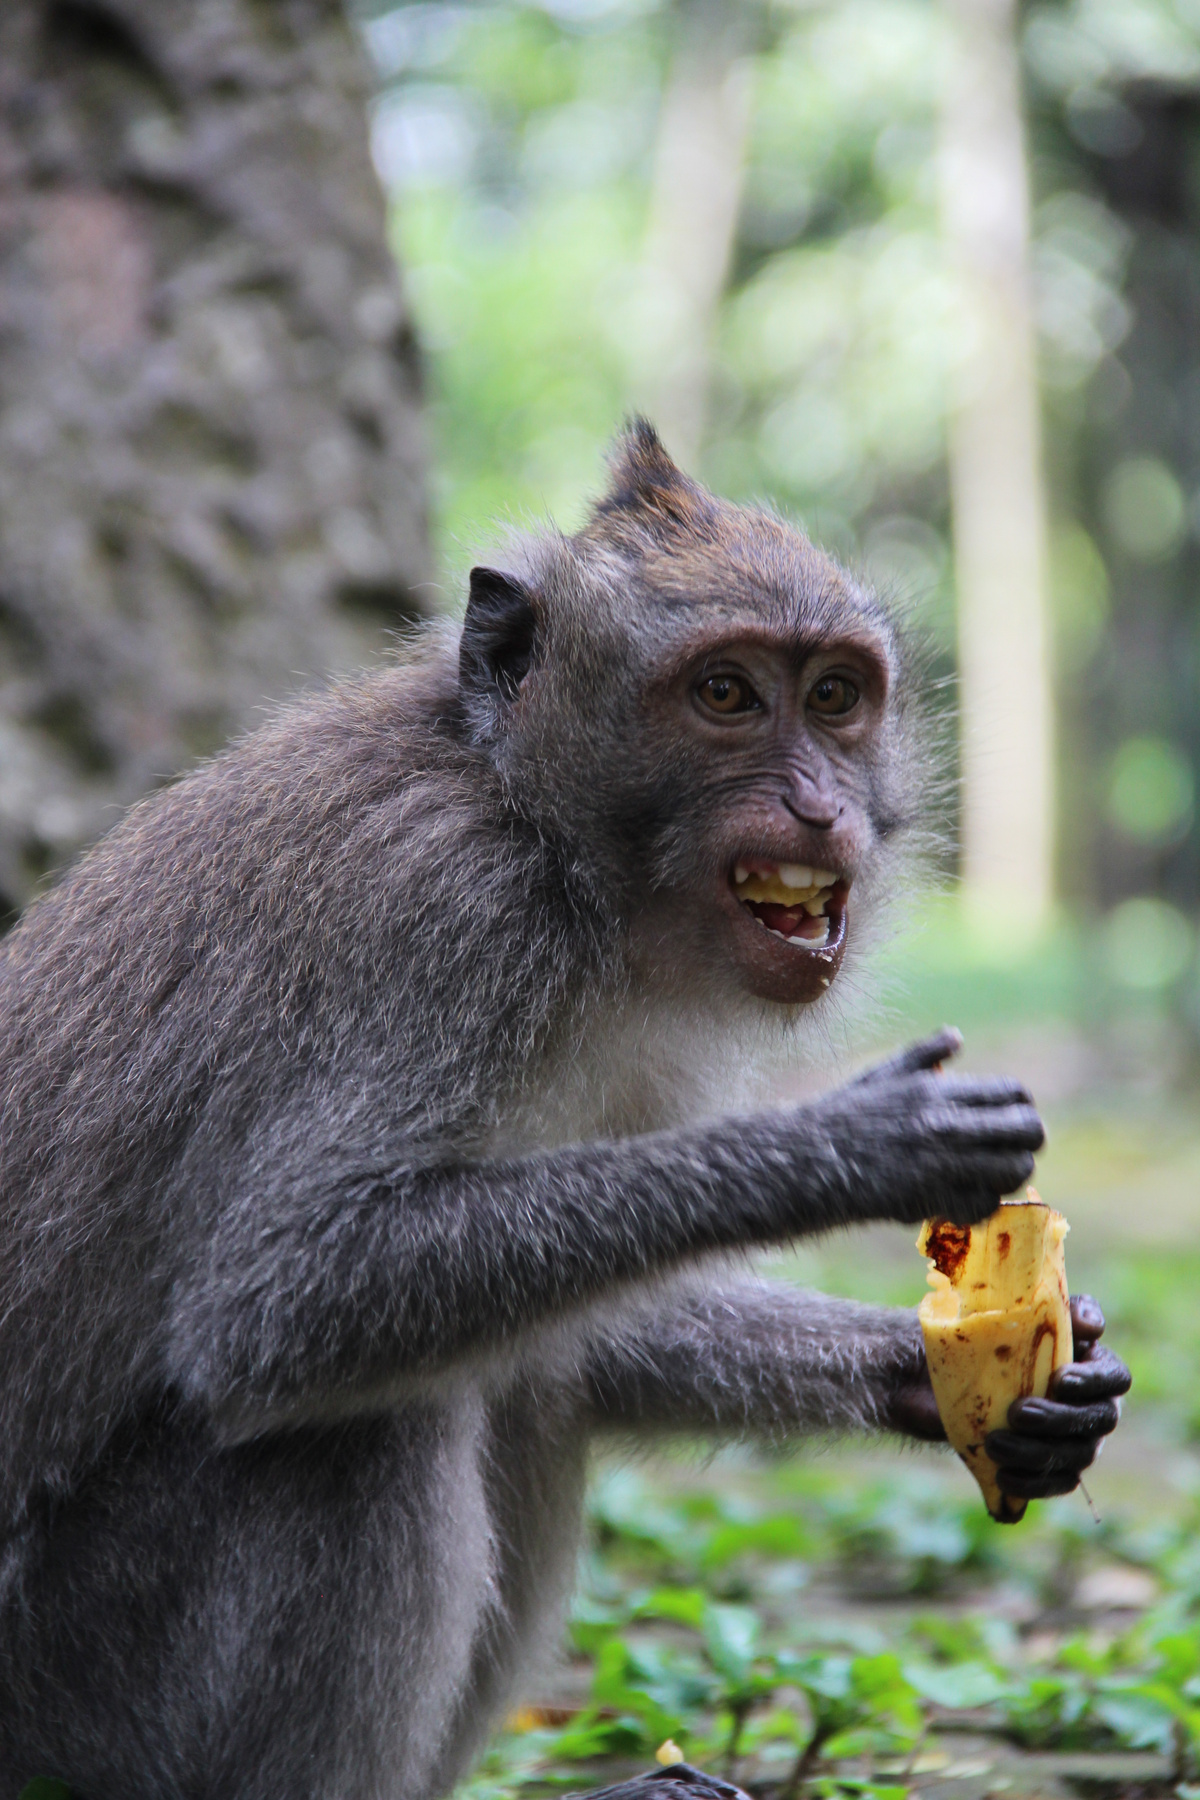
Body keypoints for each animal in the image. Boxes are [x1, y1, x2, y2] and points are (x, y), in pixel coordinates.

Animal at [0, 423, 1128, 1800]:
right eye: (726, 695)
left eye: (834, 697)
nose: (820, 806)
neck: (545, 840)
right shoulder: (439, 910)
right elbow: (280, 1299)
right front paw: (842, 1148)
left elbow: (580, 1329)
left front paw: (955, 1378)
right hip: (74, 1695)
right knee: (365, 1423)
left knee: (522, 1376)